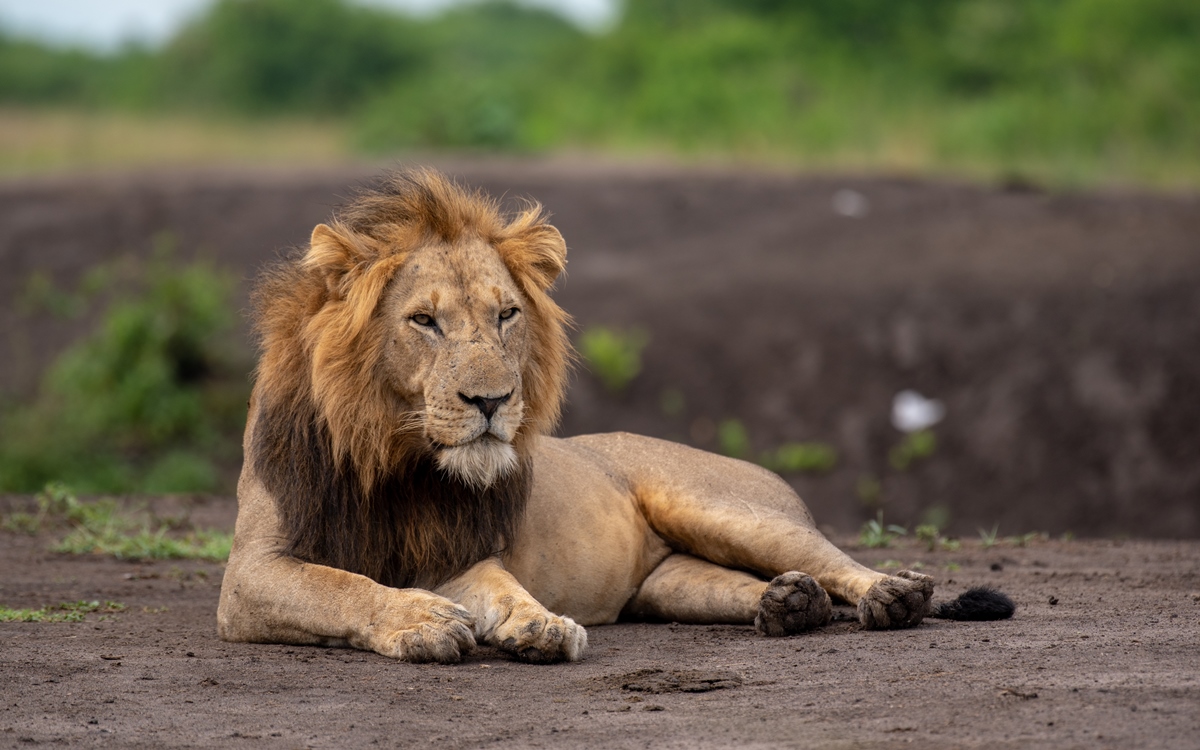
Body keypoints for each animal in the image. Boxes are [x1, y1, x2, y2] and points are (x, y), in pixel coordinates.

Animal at [218, 168, 1012, 662]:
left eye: (506, 315)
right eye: (424, 321)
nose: (492, 401)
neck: (397, 456)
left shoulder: (455, 551)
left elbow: (498, 586)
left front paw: (539, 622)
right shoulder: (252, 573)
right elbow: (341, 585)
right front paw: (422, 618)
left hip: (726, 509)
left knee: (837, 564)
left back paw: (890, 595)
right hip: (672, 586)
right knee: (754, 590)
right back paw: (788, 606)